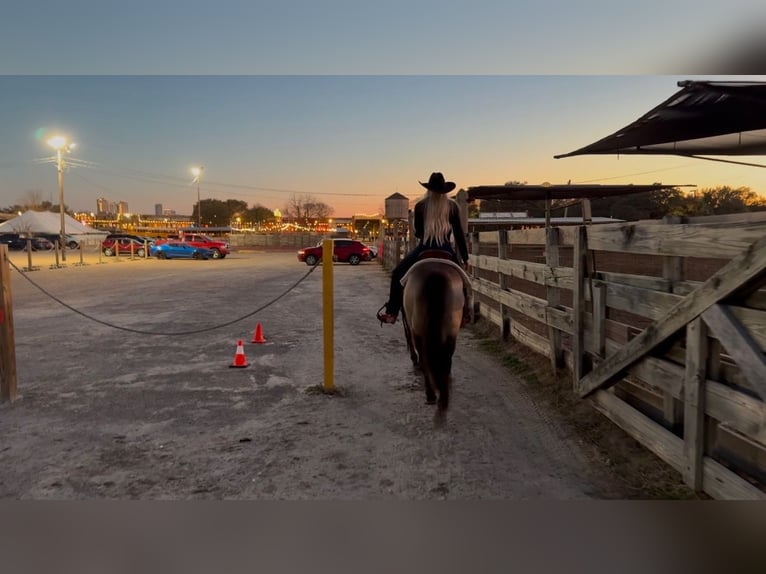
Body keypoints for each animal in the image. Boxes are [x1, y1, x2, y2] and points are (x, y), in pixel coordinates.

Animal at [402, 254, 468, 416]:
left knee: (425, 358)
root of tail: (435, 274)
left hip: (419, 331)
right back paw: (443, 395)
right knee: (446, 356)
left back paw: (431, 394)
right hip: (451, 332)